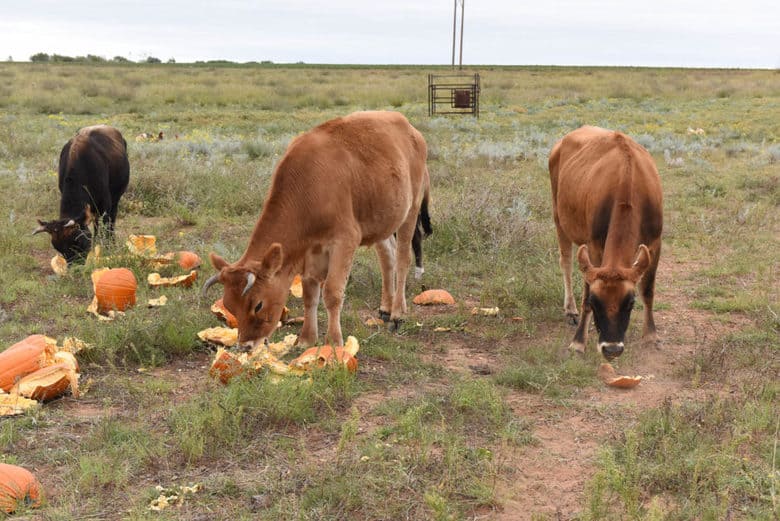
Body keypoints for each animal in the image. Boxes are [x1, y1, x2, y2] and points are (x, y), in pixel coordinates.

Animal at [33, 124, 130, 262]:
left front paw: (106, 247)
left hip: (115, 199)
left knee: (111, 221)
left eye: (78, 242)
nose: (75, 266)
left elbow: (105, 224)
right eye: (58, 248)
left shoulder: (105, 203)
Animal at [201, 110, 432, 350]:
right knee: (388, 258)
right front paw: (306, 339)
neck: (310, 186)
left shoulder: (345, 241)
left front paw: (334, 341)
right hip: (381, 222)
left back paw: (397, 313)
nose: (246, 345)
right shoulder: (309, 252)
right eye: (229, 305)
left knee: (403, 259)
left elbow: (332, 293)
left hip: (410, 212)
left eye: (258, 305)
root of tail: (411, 130)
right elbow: (310, 295)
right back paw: (386, 308)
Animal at [548, 126, 664, 360]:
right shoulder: (593, 246)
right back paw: (570, 309)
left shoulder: (655, 242)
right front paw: (578, 342)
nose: (611, 348)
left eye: (630, 302)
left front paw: (651, 336)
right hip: (559, 217)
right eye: (595, 302)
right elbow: (584, 295)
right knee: (565, 262)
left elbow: (648, 290)